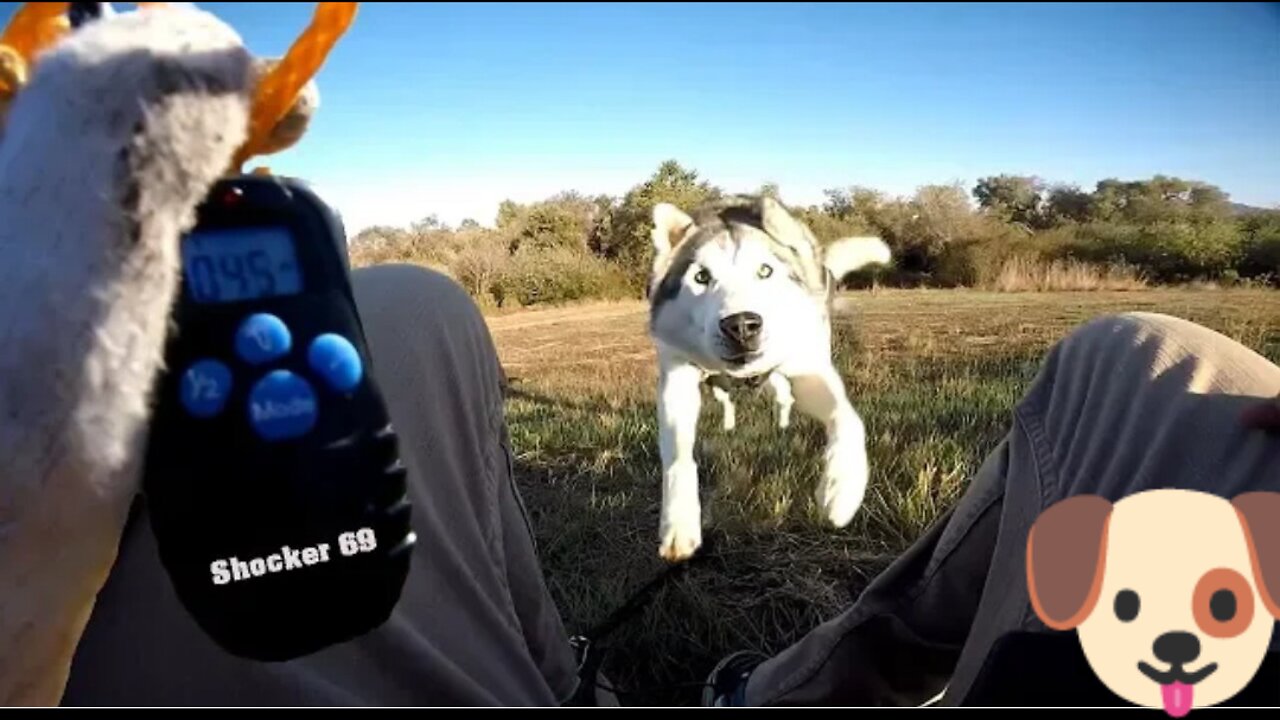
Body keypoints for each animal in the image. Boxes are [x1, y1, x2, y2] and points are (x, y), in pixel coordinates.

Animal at [650, 194, 890, 561]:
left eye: (765, 271)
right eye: (701, 277)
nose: (741, 325)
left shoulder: (808, 370)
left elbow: (848, 419)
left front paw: (841, 489)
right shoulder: (677, 372)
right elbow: (678, 455)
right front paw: (679, 524)